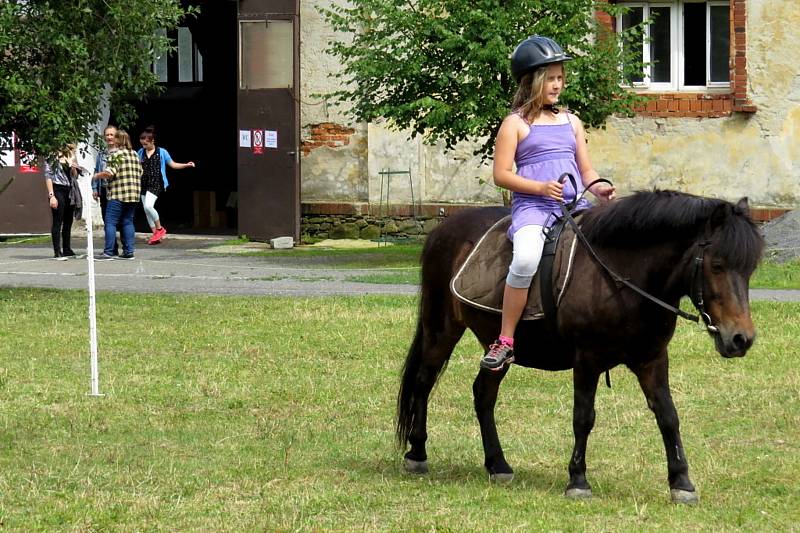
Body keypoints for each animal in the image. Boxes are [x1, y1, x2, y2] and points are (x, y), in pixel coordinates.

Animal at [396, 190, 764, 502]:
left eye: (749, 269)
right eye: (717, 265)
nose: (740, 339)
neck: (623, 278)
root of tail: (443, 230)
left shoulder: (652, 359)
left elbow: (668, 416)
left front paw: (682, 483)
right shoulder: (588, 359)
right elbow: (583, 417)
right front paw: (578, 480)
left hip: (496, 345)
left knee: (483, 393)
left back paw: (498, 464)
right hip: (440, 329)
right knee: (424, 382)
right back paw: (417, 453)